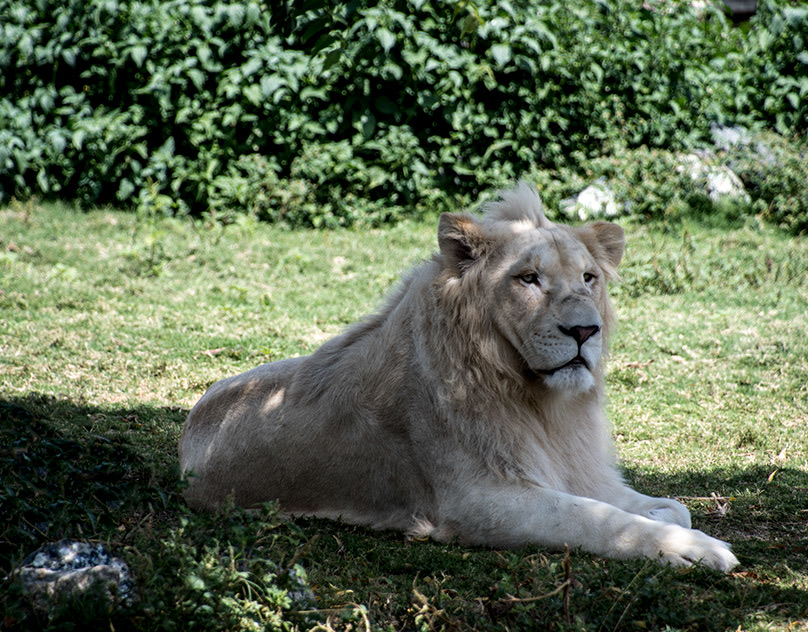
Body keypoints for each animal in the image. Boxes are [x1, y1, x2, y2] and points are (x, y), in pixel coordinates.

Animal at [179, 182, 738, 571]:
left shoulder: (571, 469)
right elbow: (593, 519)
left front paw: (670, 522)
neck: (542, 404)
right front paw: (695, 551)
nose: (585, 330)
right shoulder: (477, 500)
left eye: (589, 278)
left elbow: (670, 508)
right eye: (528, 279)